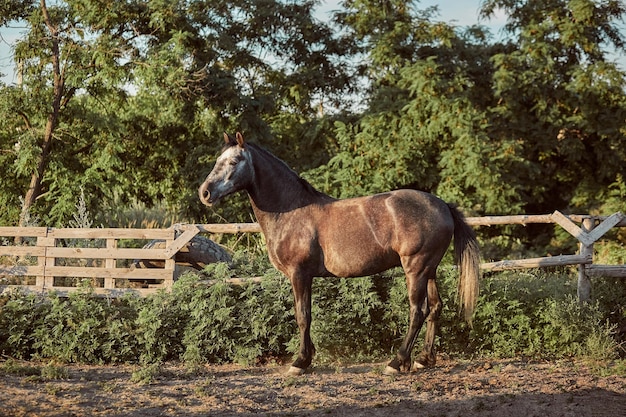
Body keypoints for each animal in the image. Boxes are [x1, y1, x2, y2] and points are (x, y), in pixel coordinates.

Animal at [197, 132, 480, 376]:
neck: (291, 211)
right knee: (435, 308)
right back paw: (423, 359)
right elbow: (306, 315)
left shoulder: (299, 274)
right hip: (429, 269)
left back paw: (396, 362)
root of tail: (443, 206)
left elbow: (302, 316)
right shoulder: (305, 277)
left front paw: (299, 362)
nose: (205, 193)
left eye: (234, 161)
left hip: (416, 269)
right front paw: (308, 357)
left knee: (417, 311)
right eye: (217, 160)